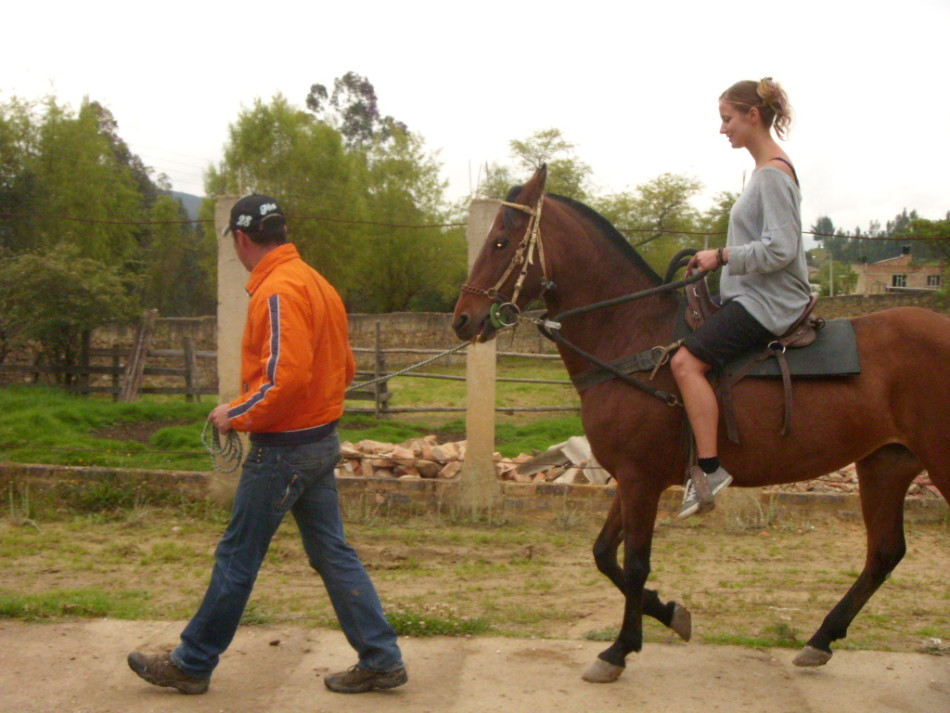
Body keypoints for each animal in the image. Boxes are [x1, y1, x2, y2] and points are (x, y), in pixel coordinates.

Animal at [456, 164, 950, 680]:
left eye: (501, 241)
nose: (463, 320)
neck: (633, 338)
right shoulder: (633, 478)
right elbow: (605, 555)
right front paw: (671, 614)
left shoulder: (640, 480)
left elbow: (635, 563)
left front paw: (619, 648)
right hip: (886, 464)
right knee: (884, 552)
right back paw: (820, 639)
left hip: (936, 460)